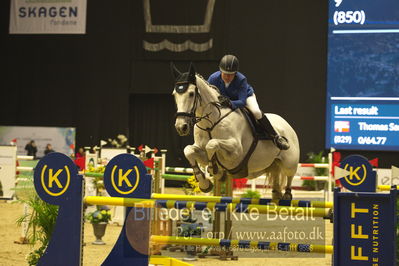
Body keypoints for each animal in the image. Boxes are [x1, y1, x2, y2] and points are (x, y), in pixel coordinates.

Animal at [172, 62, 300, 200]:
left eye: (191, 93)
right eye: (174, 94)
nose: (181, 127)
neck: (210, 122)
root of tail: (287, 125)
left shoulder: (236, 151)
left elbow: (212, 144)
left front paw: (214, 170)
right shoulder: (201, 152)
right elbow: (189, 151)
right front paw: (205, 184)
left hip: (290, 162)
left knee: (290, 175)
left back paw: (287, 193)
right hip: (273, 164)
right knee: (276, 179)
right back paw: (277, 194)